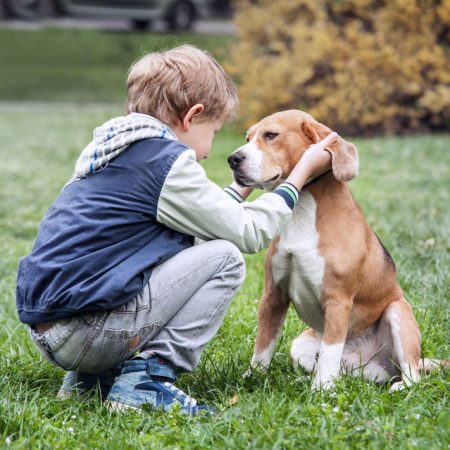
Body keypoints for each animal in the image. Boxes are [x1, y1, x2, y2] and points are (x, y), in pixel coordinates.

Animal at [230, 110, 438, 390]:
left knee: (412, 376)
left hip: (398, 312)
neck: (302, 209)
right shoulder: (273, 296)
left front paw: (321, 392)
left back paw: (397, 386)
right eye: (247, 138)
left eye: (270, 135)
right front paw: (252, 378)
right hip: (301, 344)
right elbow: (262, 346)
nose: (233, 159)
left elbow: (329, 351)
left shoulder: (337, 300)